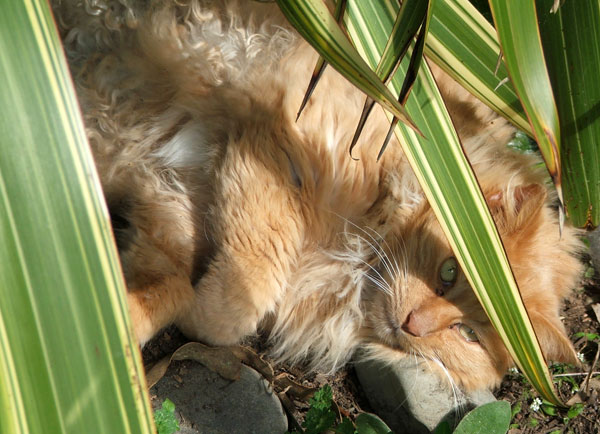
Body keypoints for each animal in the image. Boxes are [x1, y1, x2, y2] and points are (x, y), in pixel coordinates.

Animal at [54, 0, 584, 390]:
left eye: (467, 334)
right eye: (450, 271)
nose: (413, 324)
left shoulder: (169, 205)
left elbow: (160, 293)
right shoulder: (277, 142)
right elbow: (245, 292)